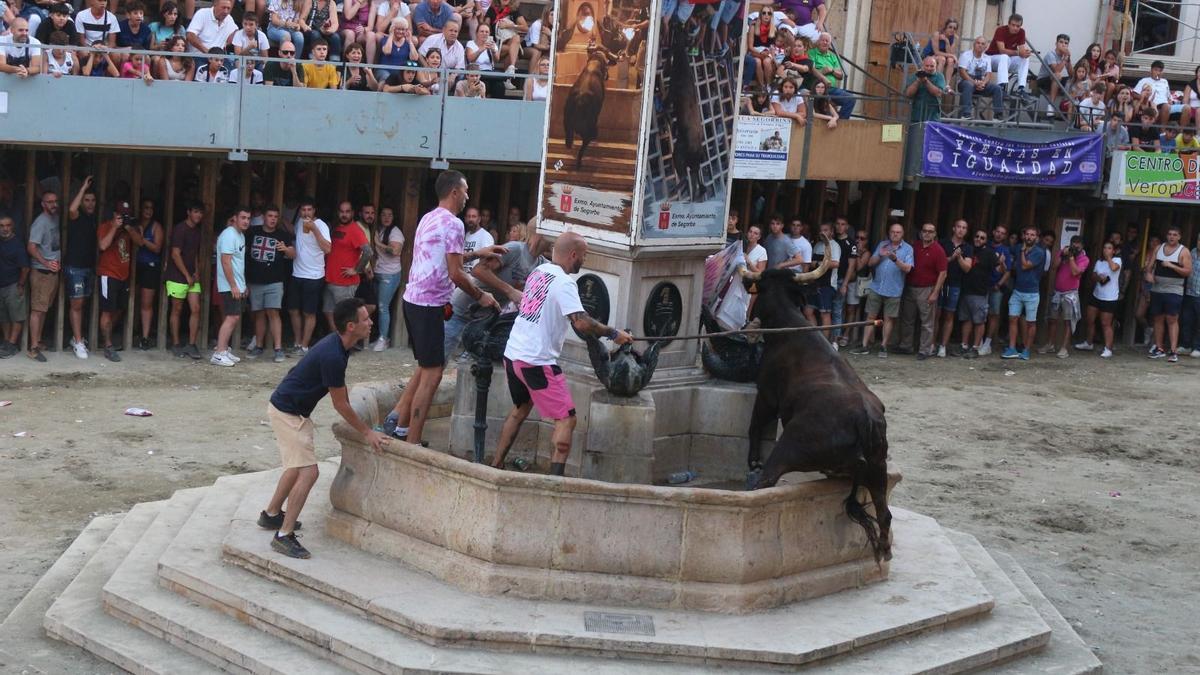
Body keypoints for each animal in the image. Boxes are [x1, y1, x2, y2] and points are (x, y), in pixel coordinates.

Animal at [739, 249, 892, 559]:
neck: (790, 326)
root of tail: (864, 420)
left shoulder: (767, 396)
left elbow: (755, 426)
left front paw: (753, 460)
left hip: (789, 447)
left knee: (766, 481)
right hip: (878, 470)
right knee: (884, 514)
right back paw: (883, 550)